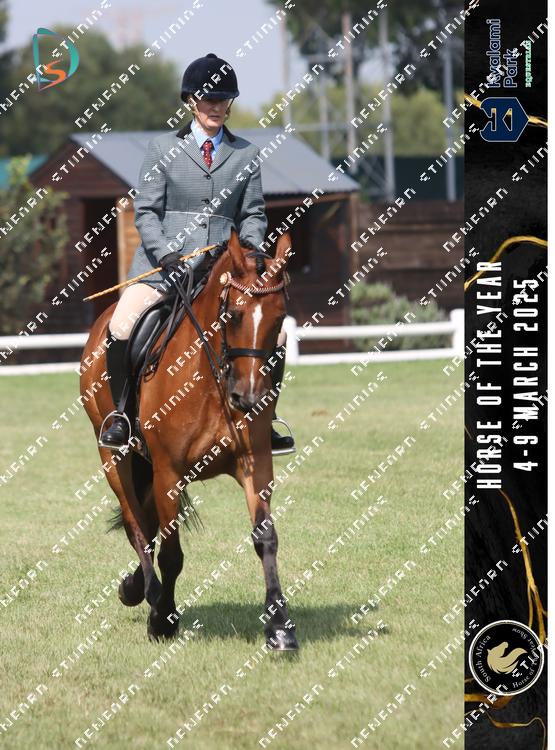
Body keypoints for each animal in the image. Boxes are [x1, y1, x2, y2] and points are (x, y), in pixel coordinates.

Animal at [80, 230, 299, 649]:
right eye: (234, 315)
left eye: (279, 318)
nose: (248, 398)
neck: (214, 379)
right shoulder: (168, 472)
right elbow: (171, 554)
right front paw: (162, 619)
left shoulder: (256, 463)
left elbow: (266, 538)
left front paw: (280, 627)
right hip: (113, 457)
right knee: (137, 526)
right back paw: (147, 595)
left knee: (146, 523)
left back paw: (134, 588)